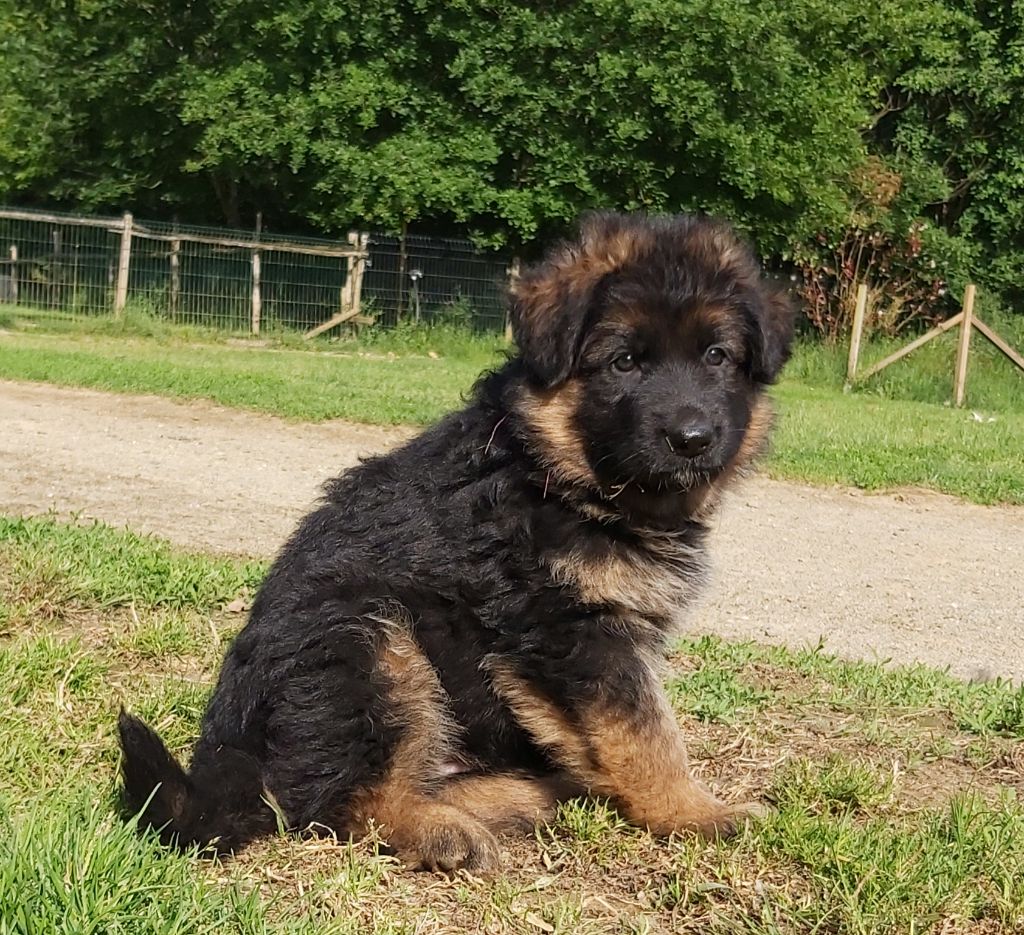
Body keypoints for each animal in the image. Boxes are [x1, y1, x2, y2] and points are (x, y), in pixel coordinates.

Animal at [117, 211, 790, 868]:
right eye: (624, 362)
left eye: (717, 356)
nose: (693, 437)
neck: (553, 472)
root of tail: (228, 755)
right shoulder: (566, 631)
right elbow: (645, 732)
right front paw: (695, 813)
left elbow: (642, 724)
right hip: (368, 641)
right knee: (333, 800)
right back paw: (444, 830)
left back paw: (531, 794)